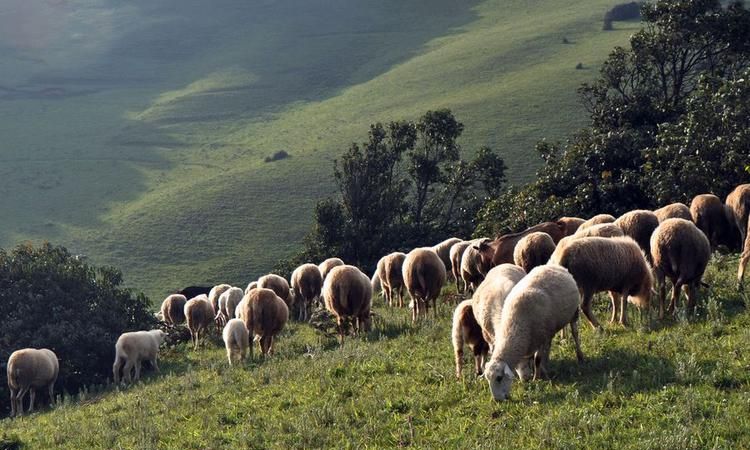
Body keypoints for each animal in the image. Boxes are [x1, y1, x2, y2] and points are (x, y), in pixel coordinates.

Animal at [484, 264, 584, 400]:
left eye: (499, 378)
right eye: (488, 379)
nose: (497, 400)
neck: (516, 325)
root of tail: (553, 266)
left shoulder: (541, 337)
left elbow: (537, 359)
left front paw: (536, 378)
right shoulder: (536, 338)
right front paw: (540, 374)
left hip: (573, 313)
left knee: (575, 333)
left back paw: (580, 356)